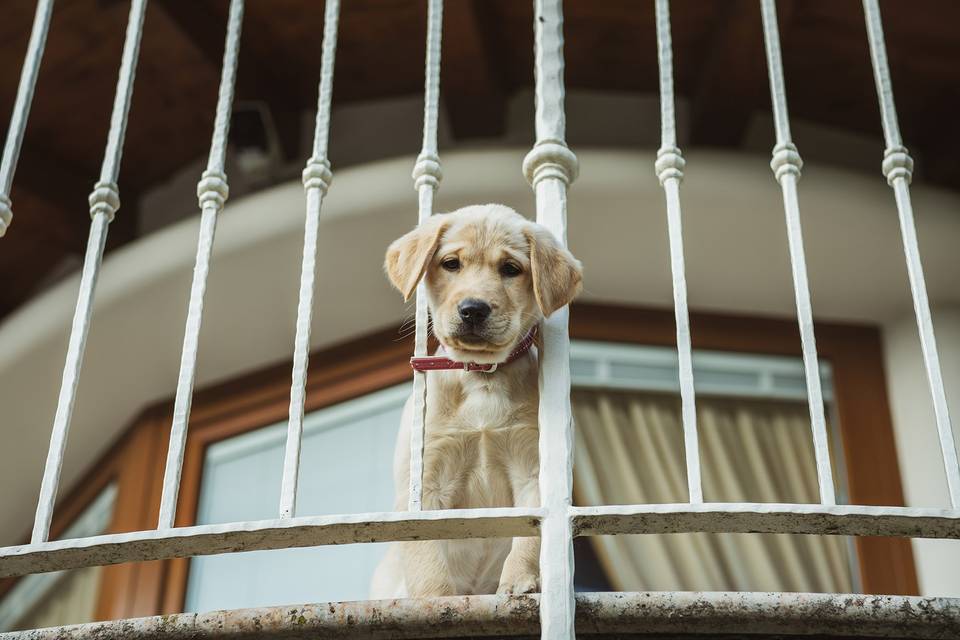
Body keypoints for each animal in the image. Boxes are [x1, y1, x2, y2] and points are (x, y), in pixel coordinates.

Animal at [370, 205, 580, 600]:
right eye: (451, 263)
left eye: (511, 269)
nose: (473, 310)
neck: (481, 375)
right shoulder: (423, 484)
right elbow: (425, 555)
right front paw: (434, 600)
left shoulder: (533, 471)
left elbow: (530, 535)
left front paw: (518, 580)